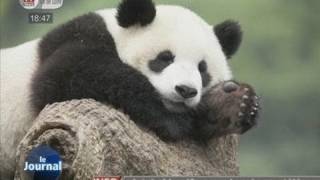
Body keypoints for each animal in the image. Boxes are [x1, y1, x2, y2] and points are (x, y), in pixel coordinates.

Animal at [0, 0, 260, 177]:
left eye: (202, 69)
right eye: (165, 58)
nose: (186, 90)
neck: (116, 34)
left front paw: (236, 105)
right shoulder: (78, 38)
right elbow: (64, 75)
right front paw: (175, 121)